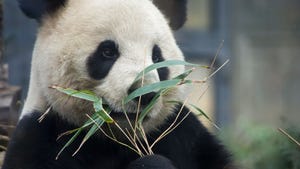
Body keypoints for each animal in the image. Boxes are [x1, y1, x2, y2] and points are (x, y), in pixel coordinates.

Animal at [1, 0, 234, 169]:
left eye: (157, 57)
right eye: (107, 51)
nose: (144, 94)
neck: (117, 138)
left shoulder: (181, 133)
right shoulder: (43, 136)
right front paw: (150, 163)